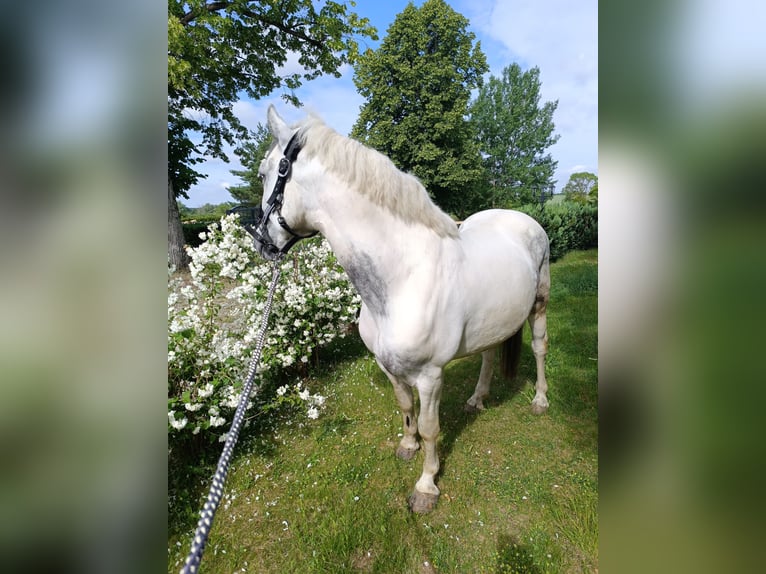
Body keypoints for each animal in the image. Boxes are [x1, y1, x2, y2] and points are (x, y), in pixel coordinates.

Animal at [249, 105, 551, 513]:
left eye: (264, 173)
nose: (261, 243)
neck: (402, 278)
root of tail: (523, 219)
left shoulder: (431, 376)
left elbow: (430, 427)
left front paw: (426, 486)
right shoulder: (387, 366)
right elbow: (405, 405)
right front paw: (408, 446)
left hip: (540, 305)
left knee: (539, 348)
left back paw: (540, 400)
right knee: (488, 355)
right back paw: (477, 399)